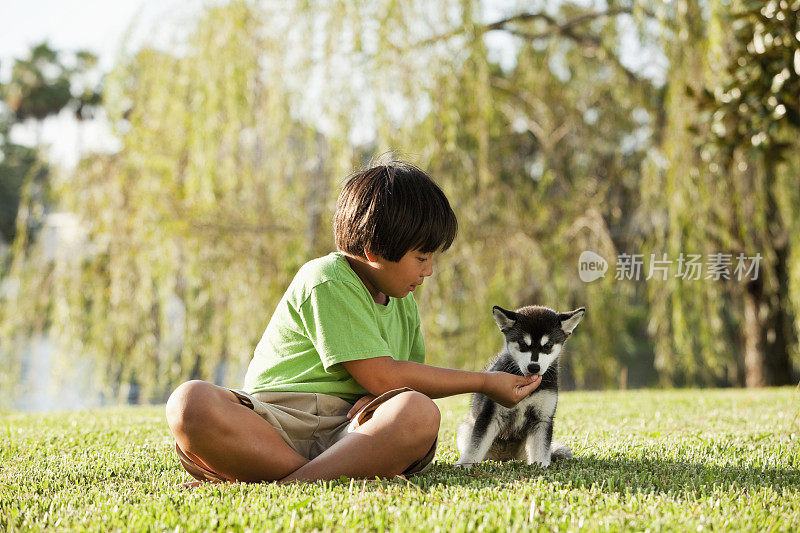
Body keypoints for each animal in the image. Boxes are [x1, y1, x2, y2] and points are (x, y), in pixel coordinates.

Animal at [460, 306, 584, 468]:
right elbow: (475, 447)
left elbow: (541, 450)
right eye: (523, 345)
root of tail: (505, 458)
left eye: (547, 346)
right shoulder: (490, 415)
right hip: (465, 429)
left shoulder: (542, 418)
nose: (534, 367)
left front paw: (542, 467)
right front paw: (464, 467)